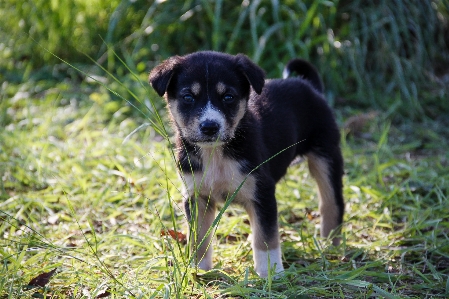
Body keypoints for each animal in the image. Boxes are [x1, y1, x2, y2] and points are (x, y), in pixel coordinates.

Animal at [150, 51, 344, 278]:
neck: (217, 154)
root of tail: (309, 86)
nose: (210, 127)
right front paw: (199, 269)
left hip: (326, 154)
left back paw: (330, 245)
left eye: (228, 97)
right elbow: (199, 237)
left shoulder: (262, 192)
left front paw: (270, 272)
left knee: (332, 202)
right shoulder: (197, 196)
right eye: (188, 97)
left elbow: (266, 237)